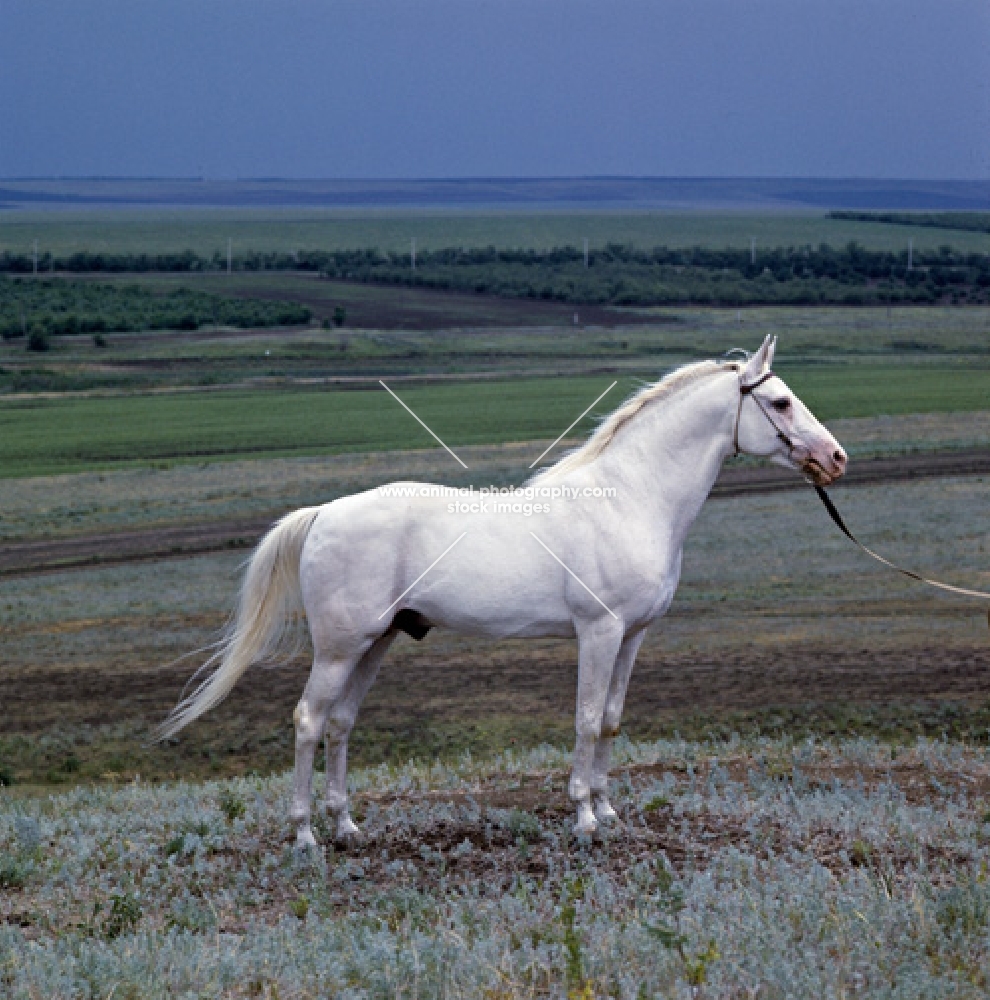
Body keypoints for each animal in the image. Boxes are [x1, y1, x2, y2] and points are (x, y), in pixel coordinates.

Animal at [159, 336, 848, 844]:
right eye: (781, 403)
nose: (836, 458)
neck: (631, 499)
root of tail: (323, 512)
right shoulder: (598, 632)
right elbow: (585, 718)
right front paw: (585, 817)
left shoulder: (632, 636)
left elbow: (611, 720)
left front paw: (610, 810)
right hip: (338, 647)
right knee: (308, 719)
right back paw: (304, 835)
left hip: (376, 642)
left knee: (341, 723)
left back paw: (348, 826)